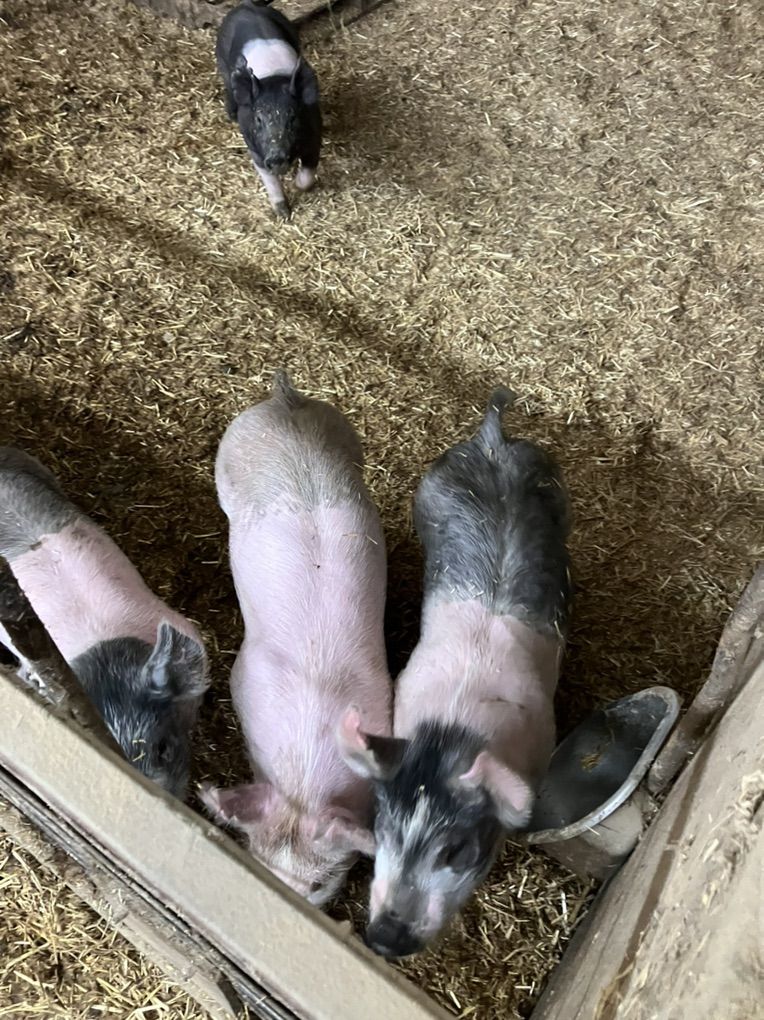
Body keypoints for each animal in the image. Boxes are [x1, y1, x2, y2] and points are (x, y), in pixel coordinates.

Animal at [200, 371, 393, 907]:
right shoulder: (242, 677)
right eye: (256, 860)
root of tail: (284, 399)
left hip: (346, 437)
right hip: (230, 451)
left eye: (319, 881)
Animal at [216, 0, 322, 220]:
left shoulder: (314, 133)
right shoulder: (253, 146)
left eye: (293, 117)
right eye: (258, 119)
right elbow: (269, 180)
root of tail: (246, 6)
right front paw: (283, 214)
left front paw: (297, 187)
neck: (273, 79)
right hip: (221, 57)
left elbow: (308, 172)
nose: (277, 157)